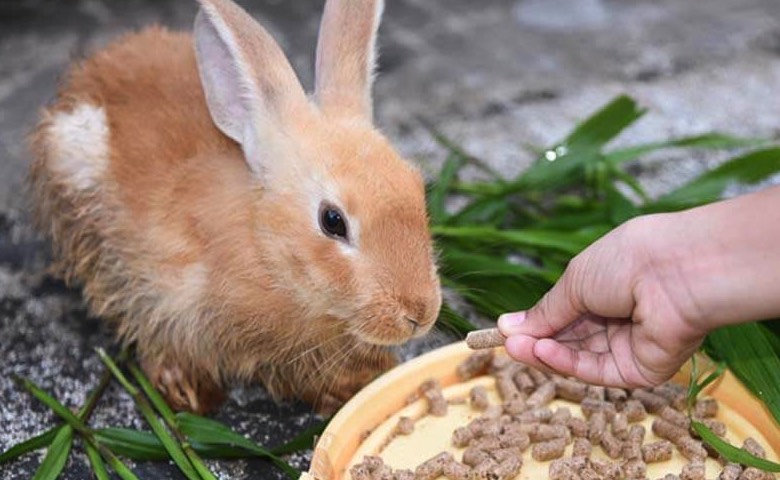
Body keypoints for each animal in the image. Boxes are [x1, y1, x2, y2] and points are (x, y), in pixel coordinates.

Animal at [30, 0, 442, 414]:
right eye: (332, 221)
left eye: (417, 187)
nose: (419, 314)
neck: (263, 245)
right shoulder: (158, 294)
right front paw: (189, 394)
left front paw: (359, 380)